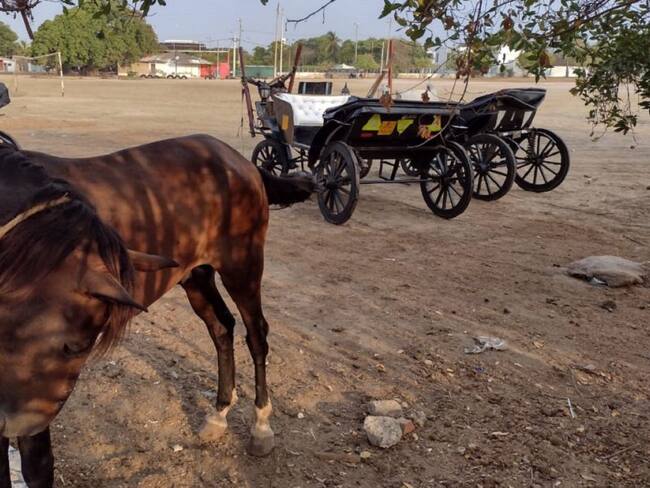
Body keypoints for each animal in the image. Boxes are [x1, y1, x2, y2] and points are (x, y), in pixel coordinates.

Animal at [0, 134, 313, 488]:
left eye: (75, 347)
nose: (13, 422)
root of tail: (238, 160)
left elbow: (38, 467)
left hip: (243, 267)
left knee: (257, 334)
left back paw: (261, 426)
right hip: (196, 275)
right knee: (222, 327)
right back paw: (218, 414)